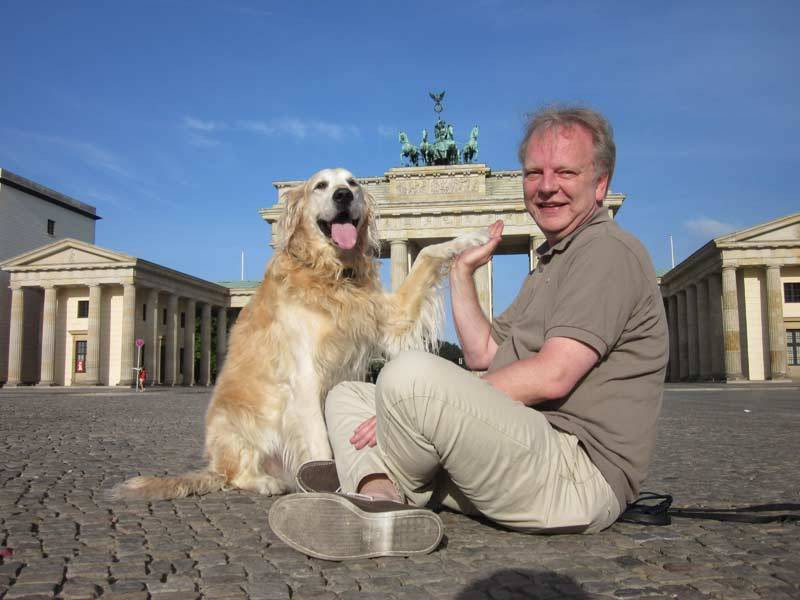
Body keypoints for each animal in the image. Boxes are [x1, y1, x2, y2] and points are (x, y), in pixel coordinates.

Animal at [111, 166, 488, 500]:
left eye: (352, 182)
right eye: (320, 185)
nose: (343, 195)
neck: (330, 274)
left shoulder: (389, 319)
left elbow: (427, 253)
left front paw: (472, 238)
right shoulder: (305, 376)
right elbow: (321, 445)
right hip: (239, 420)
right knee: (233, 476)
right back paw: (266, 482)